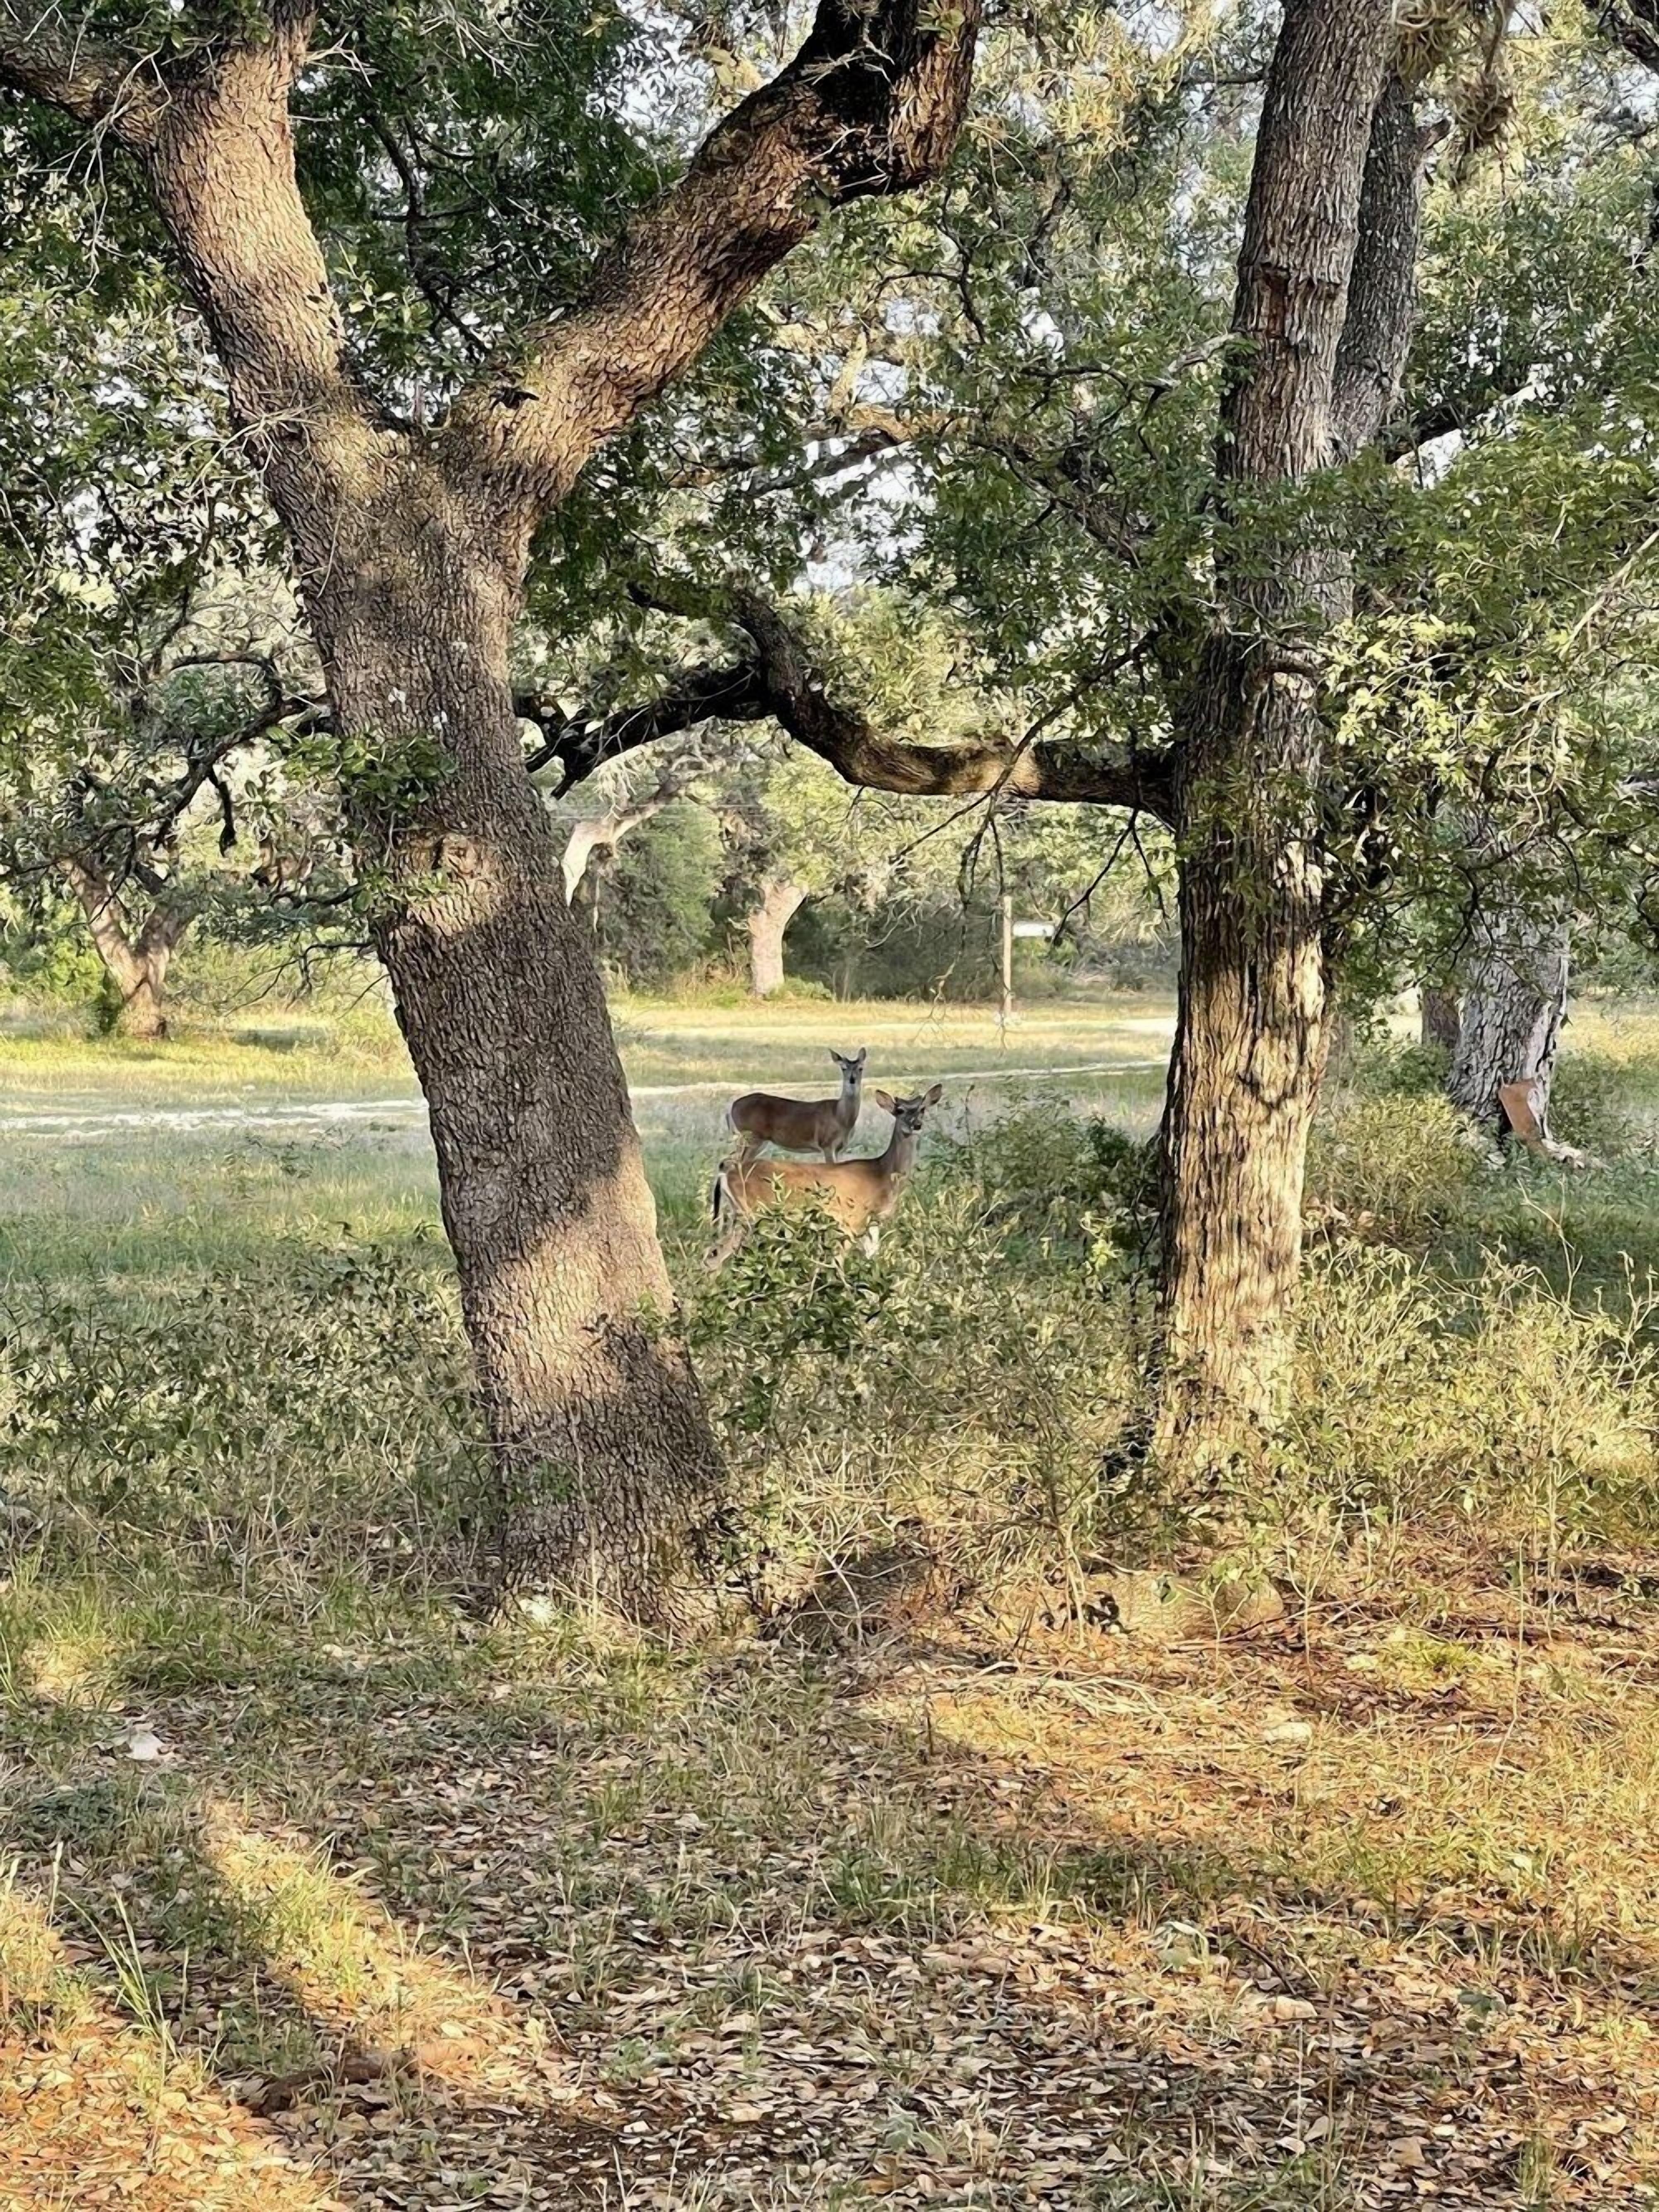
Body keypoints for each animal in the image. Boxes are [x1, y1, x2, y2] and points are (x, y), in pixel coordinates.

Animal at [709, 1084, 944, 1266]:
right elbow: (839, 1261)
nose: (916, 1125)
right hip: (751, 1214)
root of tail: (726, 1176)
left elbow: (872, 1257)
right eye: (899, 1110)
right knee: (715, 1257)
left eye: (922, 1108)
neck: (882, 1172)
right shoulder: (852, 1219)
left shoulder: (873, 1222)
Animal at [726, 1046, 867, 1165]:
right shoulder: (826, 1144)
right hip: (752, 1136)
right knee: (737, 1162)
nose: (852, 1080)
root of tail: (732, 1107)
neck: (840, 1116)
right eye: (843, 1068)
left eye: (861, 1068)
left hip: (756, 1139)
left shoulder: (839, 1148)